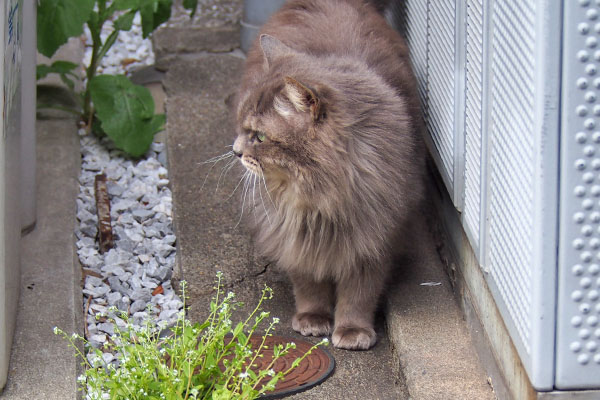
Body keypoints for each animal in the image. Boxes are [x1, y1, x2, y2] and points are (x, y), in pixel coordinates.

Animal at [232, 0, 424, 350]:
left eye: (260, 137)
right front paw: (312, 319)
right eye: (242, 128)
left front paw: (352, 331)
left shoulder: (374, 236)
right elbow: (308, 282)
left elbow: (359, 293)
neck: (321, 196)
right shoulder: (295, 232)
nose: (236, 150)